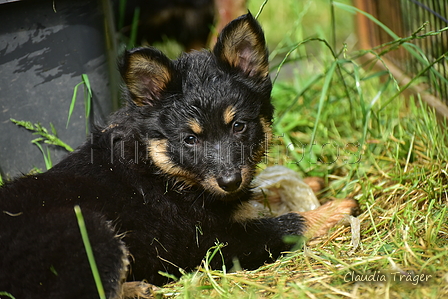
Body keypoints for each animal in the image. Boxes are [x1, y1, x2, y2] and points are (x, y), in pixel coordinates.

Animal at [0, 12, 356, 298]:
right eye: (189, 140)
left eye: (238, 126)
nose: (229, 181)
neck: (158, 167)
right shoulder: (212, 242)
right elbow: (285, 225)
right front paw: (333, 210)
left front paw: (302, 185)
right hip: (92, 233)